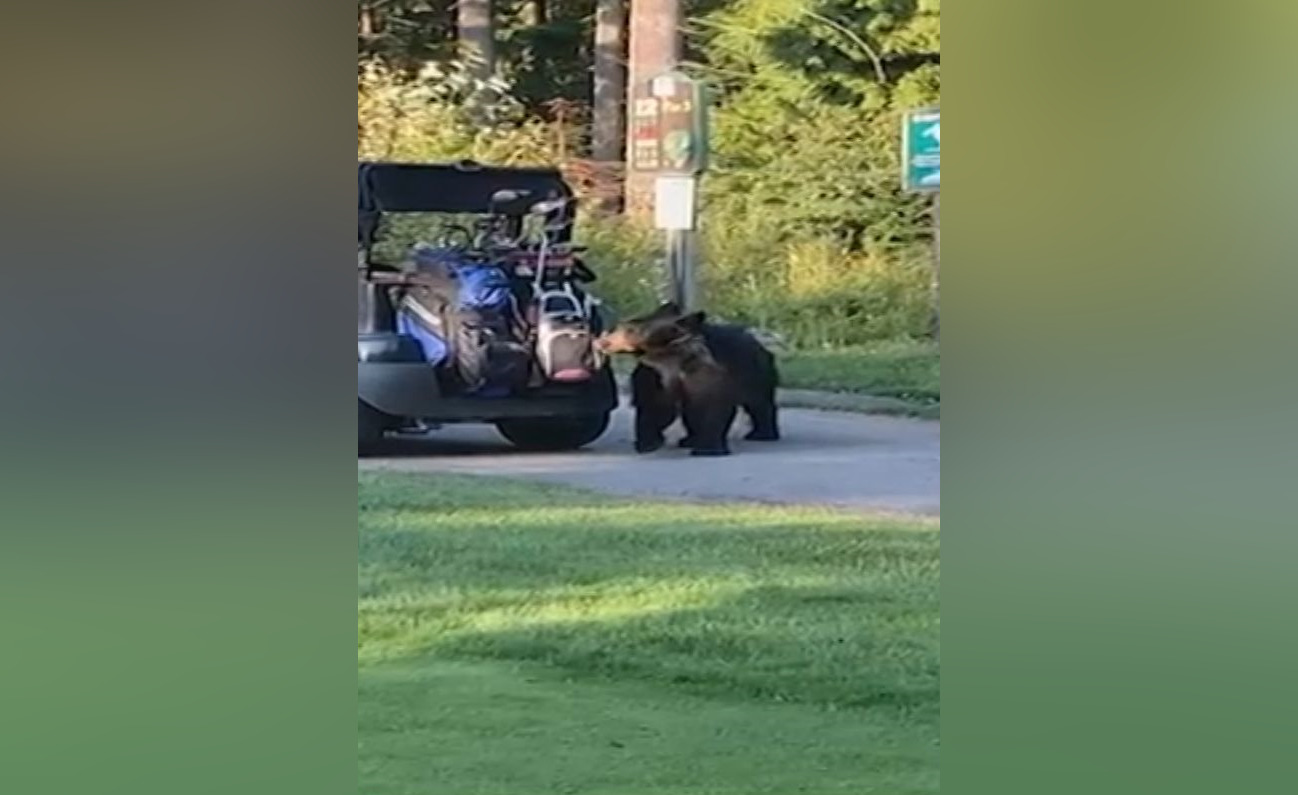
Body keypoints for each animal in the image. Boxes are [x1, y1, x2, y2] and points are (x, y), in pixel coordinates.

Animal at [597, 302, 778, 457]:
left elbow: (710, 405)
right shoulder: (653, 373)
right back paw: (688, 440)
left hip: (755, 372)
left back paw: (762, 434)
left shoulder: (706, 371)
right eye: (623, 326)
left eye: (630, 329)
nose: (603, 341)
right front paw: (648, 443)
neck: (673, 357)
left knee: (759, 403)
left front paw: (707, 449)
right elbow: (654, 405)